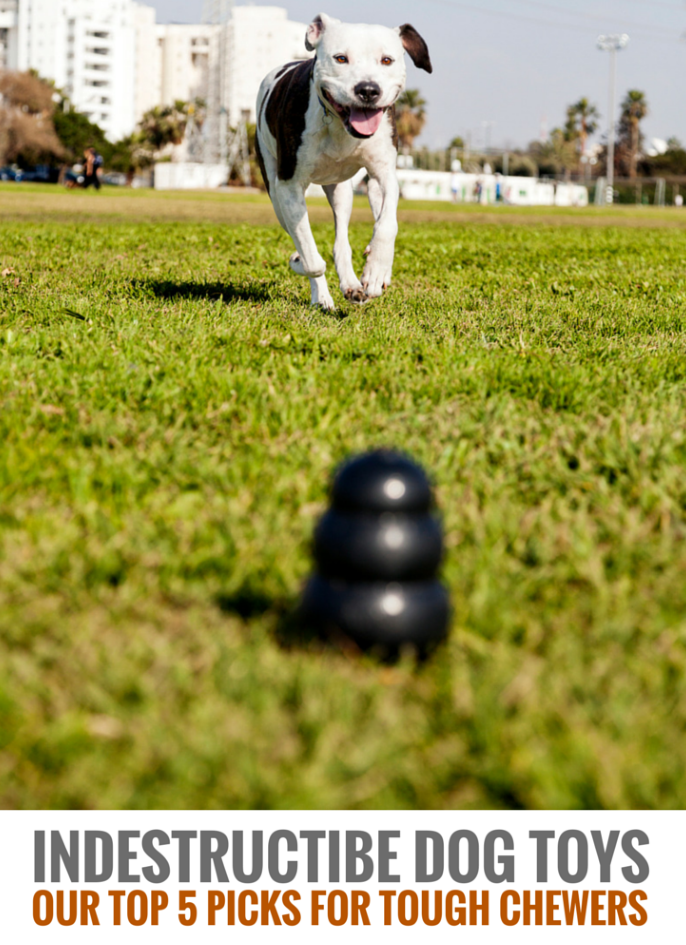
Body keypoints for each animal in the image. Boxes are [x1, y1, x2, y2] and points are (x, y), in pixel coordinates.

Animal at [255, 13, 432, 310]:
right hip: (275, 191)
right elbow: (311, 256)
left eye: (387, 60)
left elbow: (387, 222)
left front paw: (377, 270)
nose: (368, 90)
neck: (339, 125)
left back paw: (351, 283)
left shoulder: (382, 174)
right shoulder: (288, 187)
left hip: (341, 190)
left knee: (342, 239)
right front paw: (303, 264)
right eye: (340, 58)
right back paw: (322, 295)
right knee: (302, 238)